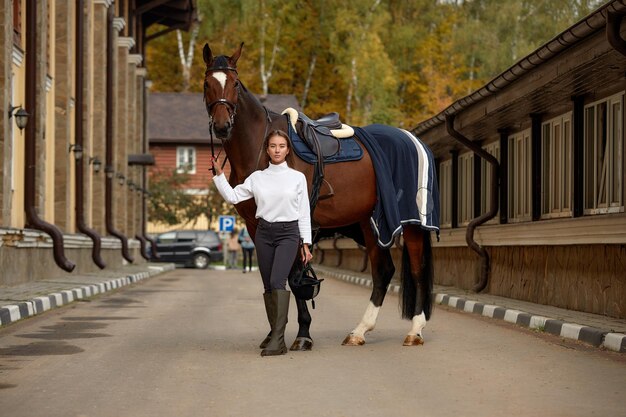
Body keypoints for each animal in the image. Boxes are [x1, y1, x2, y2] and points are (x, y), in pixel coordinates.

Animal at [202, 42, 432, 348]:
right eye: (207, 83)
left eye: (235, 84)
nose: (222, 125)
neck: (262, 149)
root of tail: (414, 139)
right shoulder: (256, 226)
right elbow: (270, 275)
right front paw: (274, 335)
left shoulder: (295, 223)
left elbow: (292, 276)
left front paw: (302, 334)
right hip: (370, 223)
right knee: (383, 271)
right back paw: (360, 331)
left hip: (413, 223)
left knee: (417, 269)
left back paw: (415, 330)